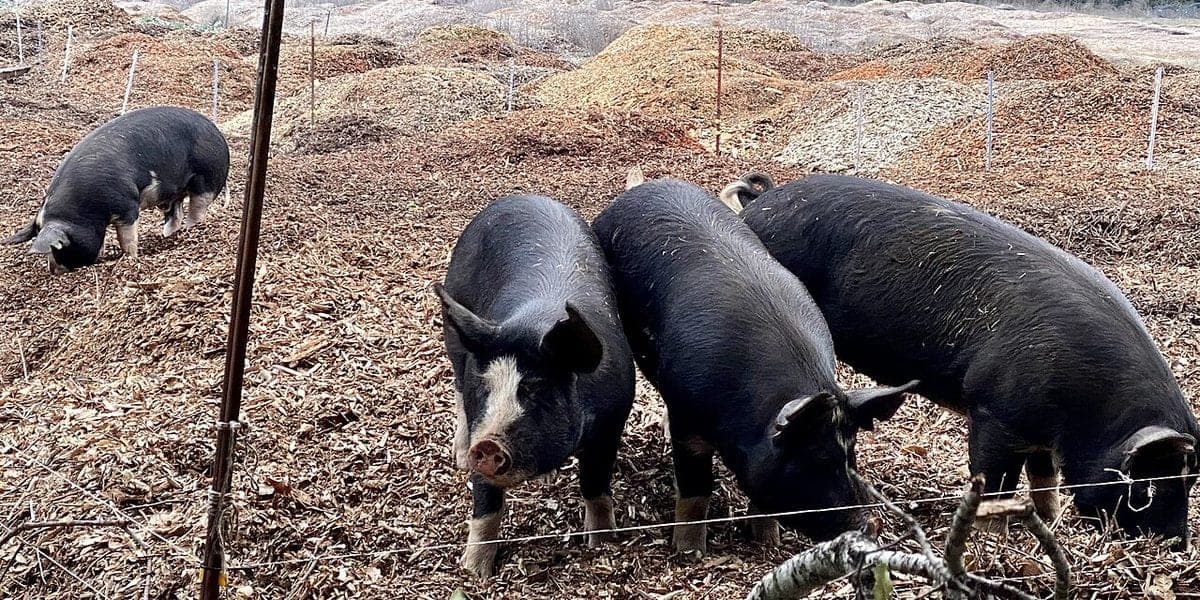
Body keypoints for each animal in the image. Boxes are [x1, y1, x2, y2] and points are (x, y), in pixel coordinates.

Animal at [4, 106, 230, 273]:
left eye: (59, 247)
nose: (54, 271)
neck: (82, 211)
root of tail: (218, 133)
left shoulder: (127, 206)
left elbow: (127, 239)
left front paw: (130, 258)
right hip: (173, 195)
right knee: (175, 216)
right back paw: (168, 236)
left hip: (206, 178)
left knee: (197, 210)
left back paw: (190, 230)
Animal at [435, 194, 635, 578]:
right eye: (486, 385)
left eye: (537, 387)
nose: (487, 446)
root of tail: (520, 196)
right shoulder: (480, 415)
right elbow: (486, 504)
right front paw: (474, 571)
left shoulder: (612, 421)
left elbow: (595, 485)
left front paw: (603, 543)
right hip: (456, 334)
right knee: (455, 386)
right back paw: (460, 457)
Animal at [592, 176, 916, 556]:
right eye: (816, 459)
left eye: (851, 454)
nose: (871, 524)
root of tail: (644, 186)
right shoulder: (689, 422)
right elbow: (696, 488)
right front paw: (689, 551)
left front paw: (767, 541)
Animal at [729, 172, 1200, 548]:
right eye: (1150, 484)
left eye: (1191, 479)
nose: (1176, 544)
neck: (1093, 407)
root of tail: (761, 202)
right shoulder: (994, 411)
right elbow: (996, 485)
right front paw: (994, 541)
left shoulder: (1039, 432)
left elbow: (1044, 478)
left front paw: (1050, 524)